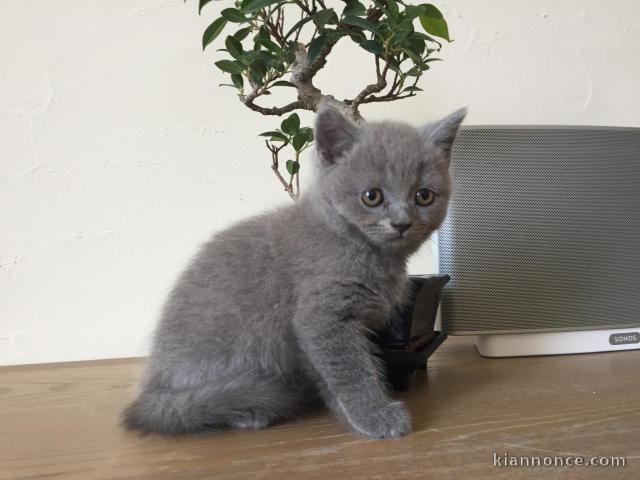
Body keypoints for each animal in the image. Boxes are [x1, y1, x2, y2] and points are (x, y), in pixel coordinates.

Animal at [124, 105, 464, 438]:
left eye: (423, 196)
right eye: (372, 196)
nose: (402, 222)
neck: (361, 247)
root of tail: (153, 387)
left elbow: (330, 371)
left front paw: (344, 409)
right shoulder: (322, 316)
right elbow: (350, 370)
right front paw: (375, 415)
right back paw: (248, 413)